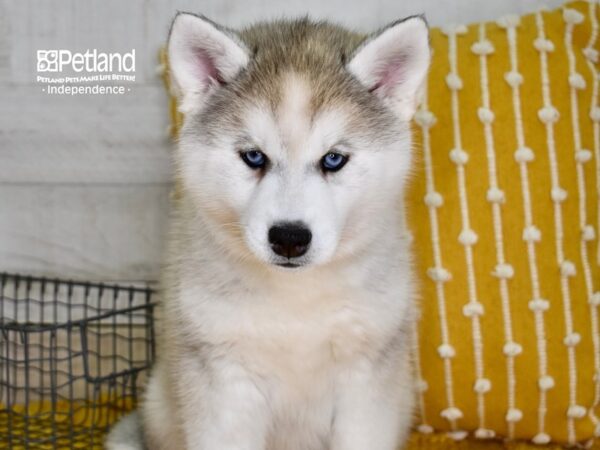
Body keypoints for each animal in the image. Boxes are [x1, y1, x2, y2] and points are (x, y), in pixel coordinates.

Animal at [105, 10, 428, 450]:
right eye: (254, 157)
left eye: (333, 159)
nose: (290, 238)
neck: (295, 300)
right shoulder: (225, 379)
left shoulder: (366, 378)